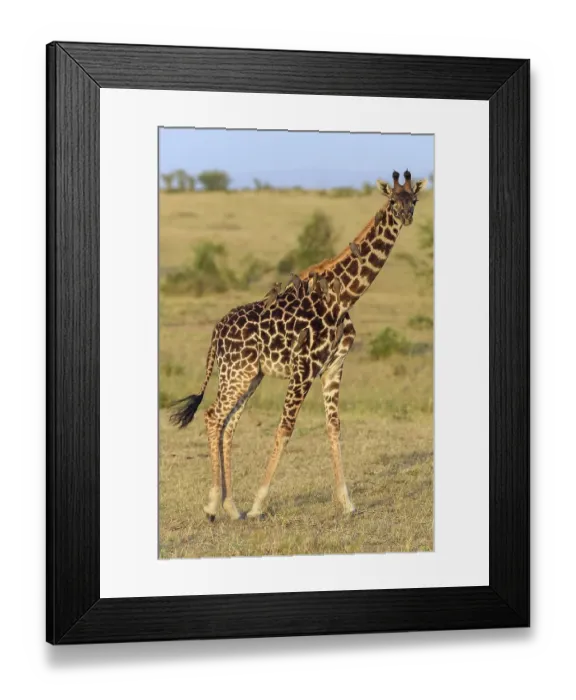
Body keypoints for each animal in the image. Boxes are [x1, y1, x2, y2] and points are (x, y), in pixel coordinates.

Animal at [169, 170, 428, 521]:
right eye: (391, 201)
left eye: (414, 199)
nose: (406, 216)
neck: (341, 298)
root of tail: (216, 333)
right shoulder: (304, 368)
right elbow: (286, 428)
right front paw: (258, 505)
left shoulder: (334, 366)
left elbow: (333, 426)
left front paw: (347, 503)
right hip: (238, 373)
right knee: (213, 416)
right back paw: (213, 506)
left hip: (248, 377)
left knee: (228, 425)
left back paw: (231, 506)